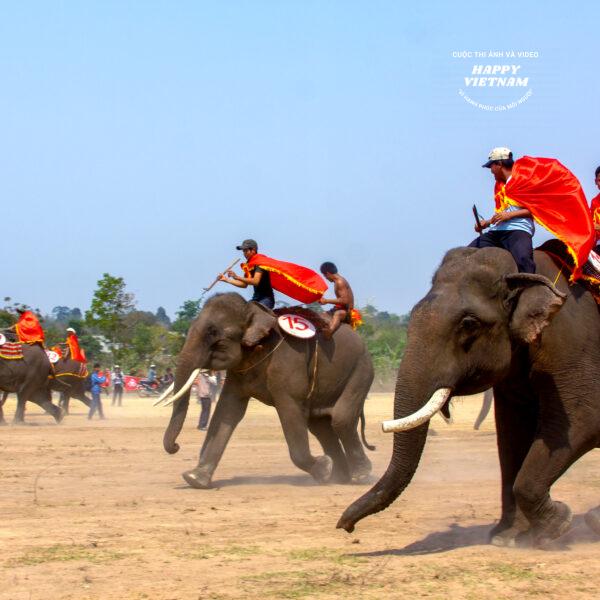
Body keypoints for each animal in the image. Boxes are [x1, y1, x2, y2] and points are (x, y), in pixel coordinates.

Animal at [162, 292, 372, 490]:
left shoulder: (288, 362)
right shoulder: (238, 371)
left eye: (213, 333)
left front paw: (323, 467)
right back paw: (338, 478)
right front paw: (194, 479)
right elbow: (228, 411)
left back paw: (359, 477)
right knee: (320, 427)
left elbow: (290, 410)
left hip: (361, 369)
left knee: (341, 420)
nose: (176, 446)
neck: (254, 311)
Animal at [338, 246, 600, 548]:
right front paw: (507, 538)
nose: (345, 526)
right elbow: (512, 434)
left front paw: (557, 524)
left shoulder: (573, 340)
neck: (521, 271)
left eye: (469, 323)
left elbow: (583, 422)